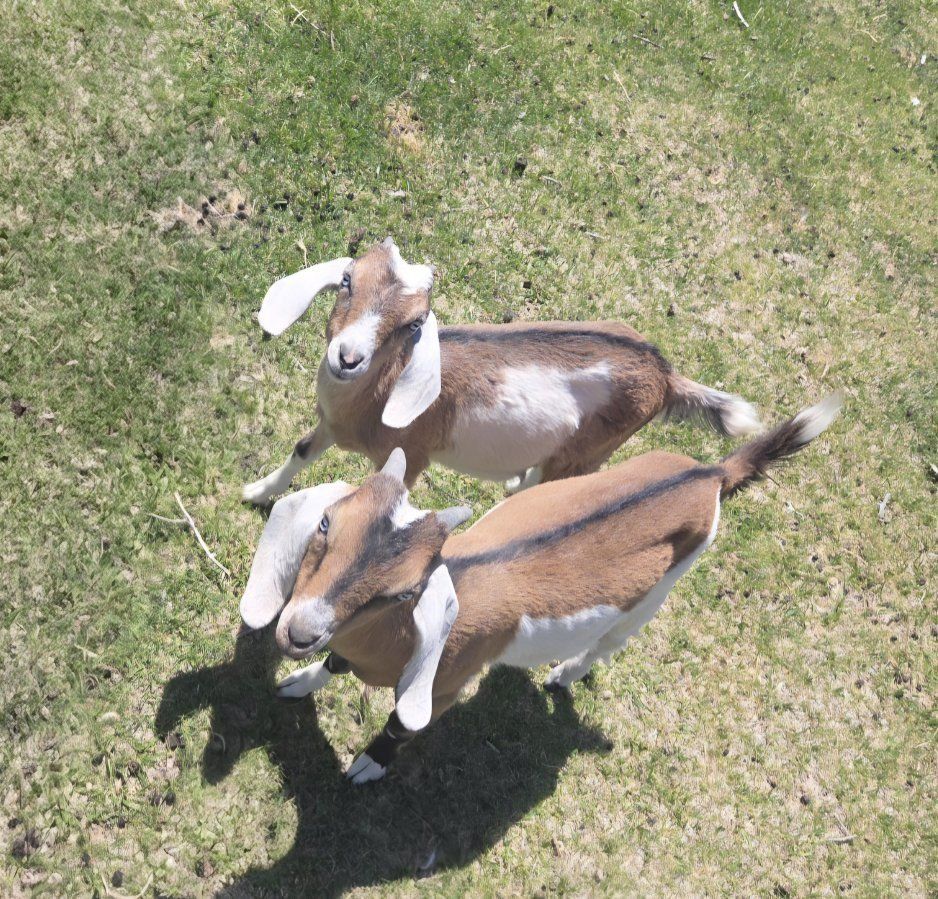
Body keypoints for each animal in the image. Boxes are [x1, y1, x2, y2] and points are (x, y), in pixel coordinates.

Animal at [240, 393, 842, 783]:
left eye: (403, 592)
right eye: (325, 524)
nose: (298, 632)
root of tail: (710, 476)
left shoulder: (445, 683)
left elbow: (400, 724)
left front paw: (368, 765)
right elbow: (335, 663)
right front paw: (298, 682)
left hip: (657, 593)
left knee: (611, 643)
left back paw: (563, 675)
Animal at [242, 237, 761, 503]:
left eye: (413, 324)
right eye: (347, 281)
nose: (348, 358)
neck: (376, 396)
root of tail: (663, 372)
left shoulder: (411, 457)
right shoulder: (330, 425)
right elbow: (302, 450)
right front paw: (255, 492)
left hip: (586, 453)